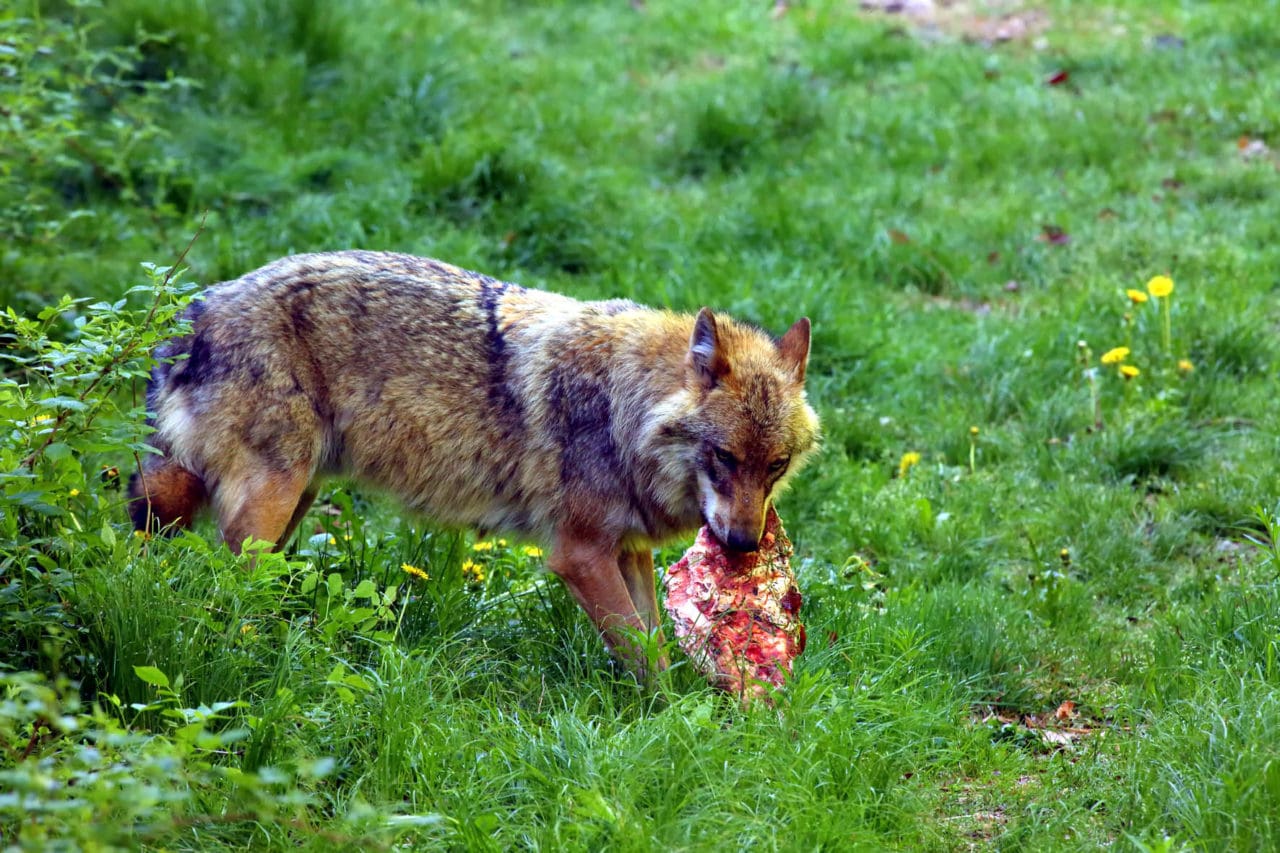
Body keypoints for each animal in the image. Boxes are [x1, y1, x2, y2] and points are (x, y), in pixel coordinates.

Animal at [129, 252, 819, 671]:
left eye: (776, 465)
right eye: (723, 456)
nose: (741, 545)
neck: (621, 408)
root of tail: (192, 310)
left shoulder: (629, 550)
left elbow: (655, 645)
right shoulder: (579, 555)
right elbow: (646, 656)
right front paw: (674, 722)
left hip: (292, 502)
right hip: (267, 506)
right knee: (224, 581)